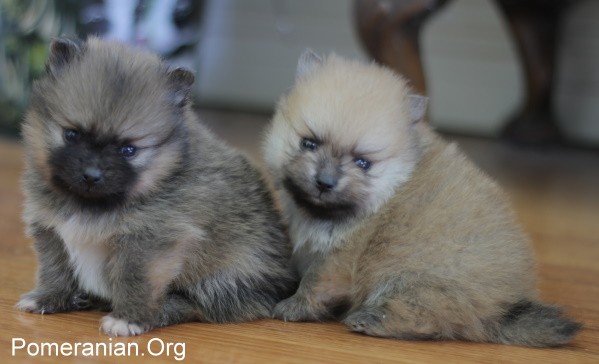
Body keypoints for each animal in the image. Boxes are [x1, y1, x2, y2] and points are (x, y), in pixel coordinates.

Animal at [18, 37, 298, 336]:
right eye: (71, 134)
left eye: (128, 150)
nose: (91, 175)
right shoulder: (51, 231)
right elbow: (55, 269)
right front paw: (48, 297)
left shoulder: (150, 240)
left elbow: (135, 279)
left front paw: (128, 318)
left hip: (224, 277)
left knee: (196, 304)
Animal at [262, 49, 580, 346]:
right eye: (308, 143)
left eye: (363, 163)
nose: (325, 182)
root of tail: (502, 310)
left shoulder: (339, 259)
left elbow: (316, 284)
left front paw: (294, 306)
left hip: (416, 277)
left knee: (426, 318)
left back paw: (372, 320)